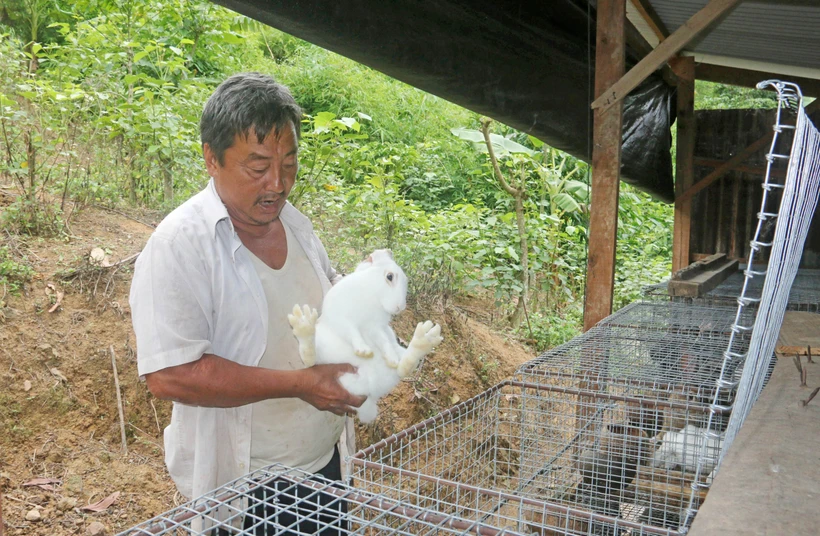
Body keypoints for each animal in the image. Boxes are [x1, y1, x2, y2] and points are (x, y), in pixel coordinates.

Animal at [288, 250, 442, 422]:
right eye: (390, 277)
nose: (399, 307)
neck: (372, 294)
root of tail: (368, 391)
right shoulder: (342, 318)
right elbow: (352, 333)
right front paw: (364, 351)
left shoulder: (375, 328)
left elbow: (383, 341)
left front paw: (391, 359)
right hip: (322, 353)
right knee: (310, 359)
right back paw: (303, 325)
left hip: (398, 358)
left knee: (404, 368)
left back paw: (423, 341)